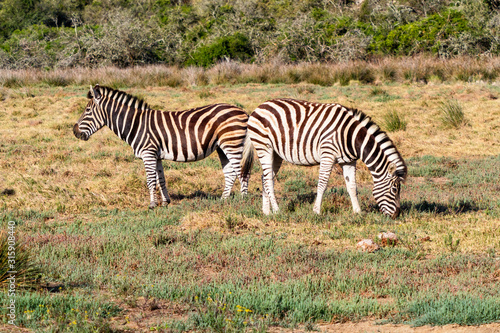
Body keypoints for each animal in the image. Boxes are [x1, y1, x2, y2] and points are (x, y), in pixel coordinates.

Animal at [73, 84, 254, 208]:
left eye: (87, 111)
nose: (75, 131)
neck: (135, 124)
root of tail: (242, 111)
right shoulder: (156, 155)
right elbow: (161, 179)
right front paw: (165, 201)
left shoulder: (148, 153)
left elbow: (150, 180)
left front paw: (152, 205)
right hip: (222, 147)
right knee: (230, 172)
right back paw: (224, 199)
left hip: (232, 143)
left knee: (241, 171)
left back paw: (243, 200)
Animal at [240, 98, 408, 218]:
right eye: (394, 189)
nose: (396, 215)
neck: (351, 136)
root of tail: (258, 107)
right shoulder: (328, 154)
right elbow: (322, 184)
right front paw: (316, 211)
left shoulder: (348, 160)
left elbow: (352, 186)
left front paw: (357, 212)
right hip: (264, 147)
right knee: (268, 179)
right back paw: (276, 210)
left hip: (276, 153)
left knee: (264, 178)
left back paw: (266, 211)